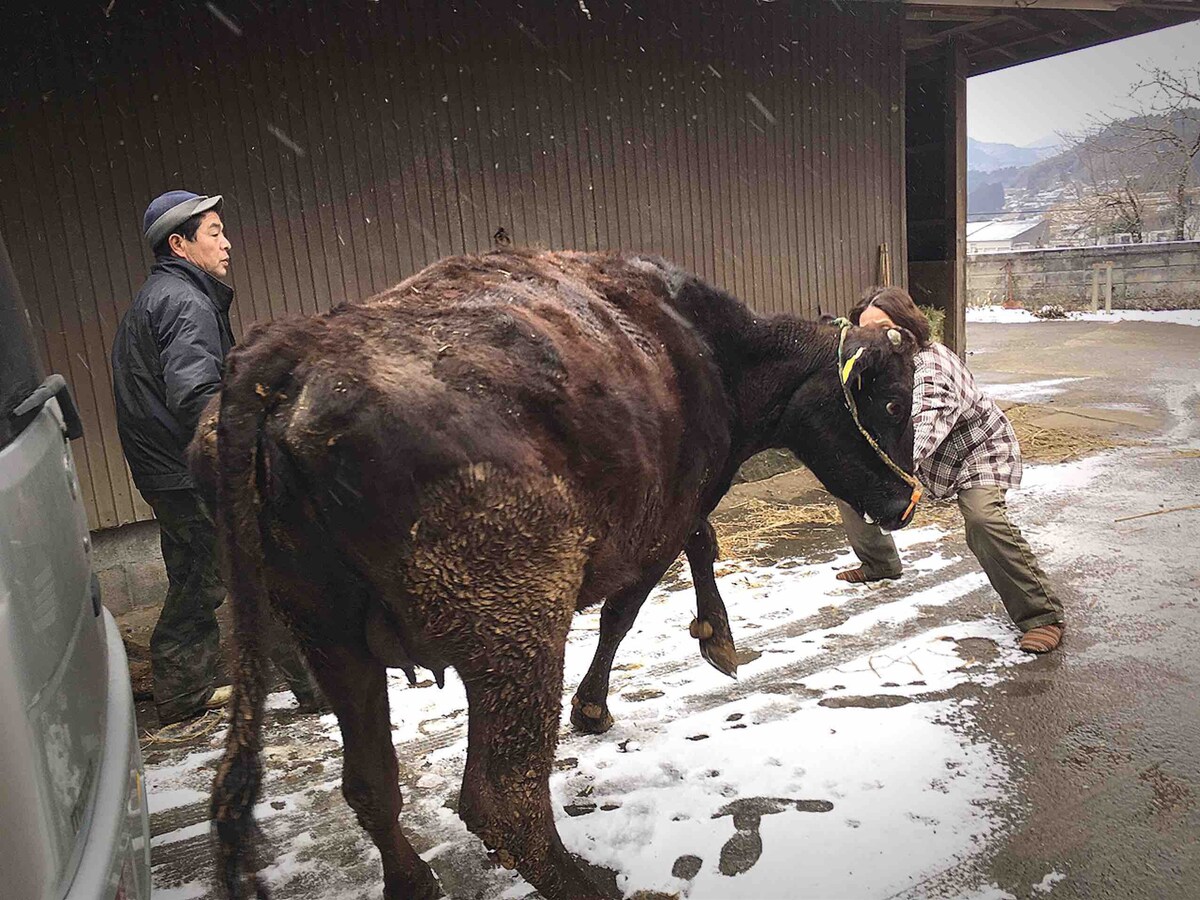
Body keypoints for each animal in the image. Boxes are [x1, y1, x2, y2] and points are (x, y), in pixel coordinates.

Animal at [201, 250, 916, 900]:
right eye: (891, 400)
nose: (905, 503)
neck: (710, 348)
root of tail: (293, 352)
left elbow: (695, 549)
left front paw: (712, 638)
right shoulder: (653, 528)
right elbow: (628, 608)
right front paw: (621, 692)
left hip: (331, 639)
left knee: (372, 783)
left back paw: (415, 883)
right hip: (516, 634)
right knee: (501, 800)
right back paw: (590, 883)